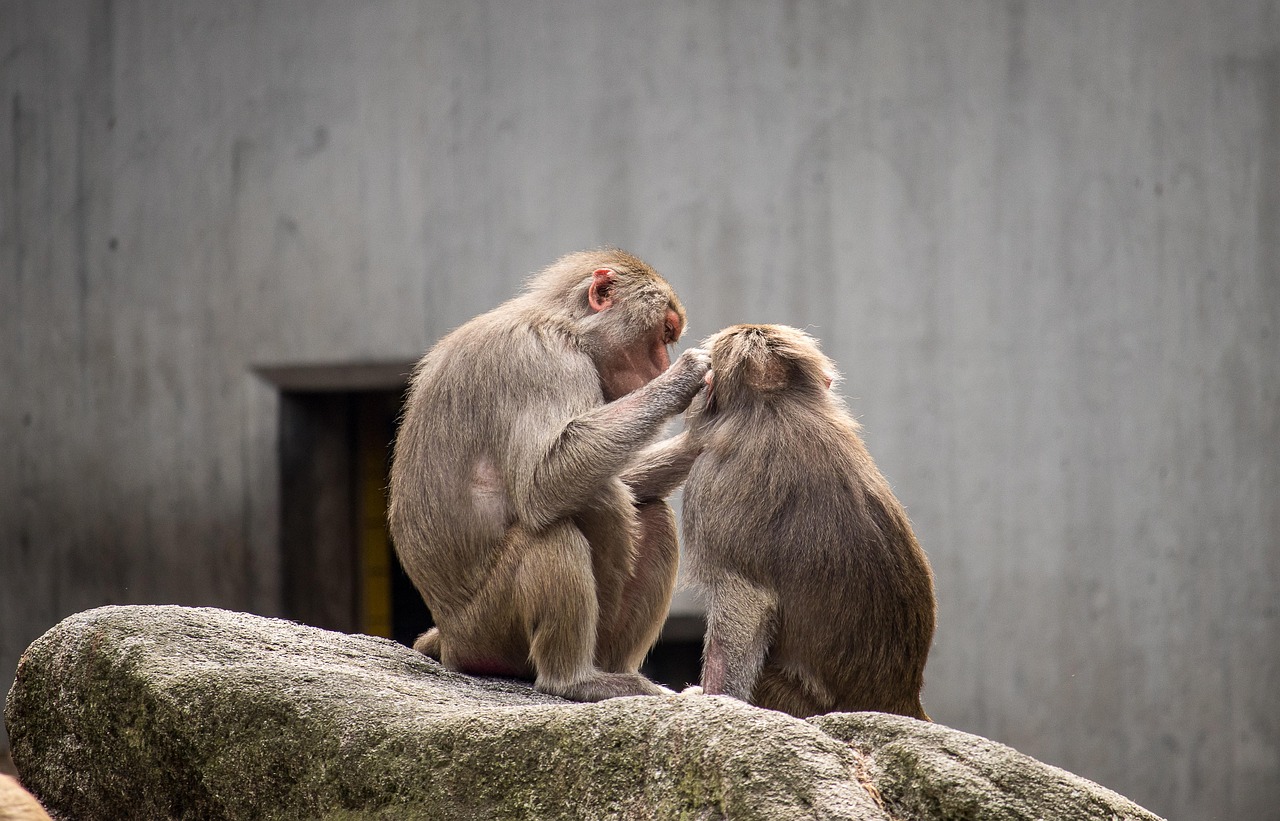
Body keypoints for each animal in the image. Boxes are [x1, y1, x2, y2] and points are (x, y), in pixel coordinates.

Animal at [389, 245, 711, 701]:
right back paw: (575, 680)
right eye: (664, 333)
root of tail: (450, 641)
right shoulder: (540, 360)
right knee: (555, 529)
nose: (658, 370)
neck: (569, 328)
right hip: (488, 627)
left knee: (649, 510)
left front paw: (705, 435)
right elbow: (545, 481)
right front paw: (685, 378)